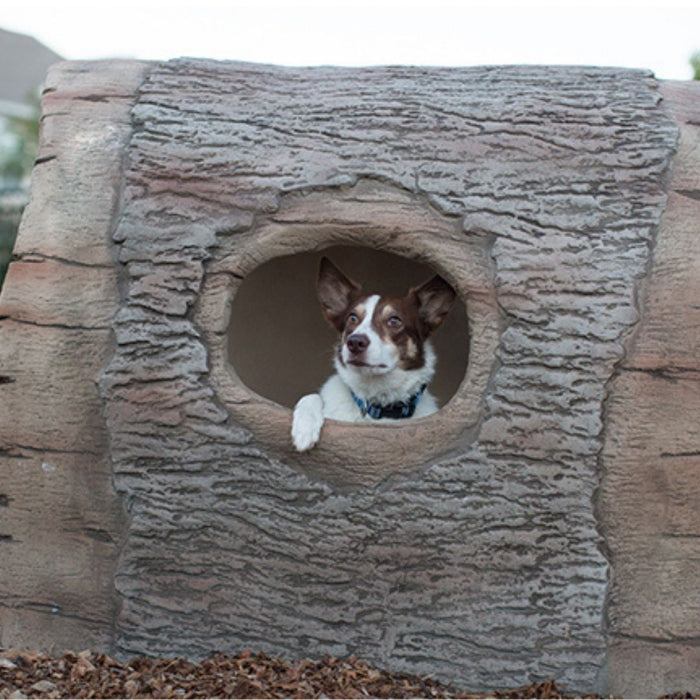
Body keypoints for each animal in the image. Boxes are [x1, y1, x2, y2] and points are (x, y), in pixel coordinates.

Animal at [288, 260, 454, 452]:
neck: (374, 404)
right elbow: (311, 396)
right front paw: (304, 429)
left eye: (394, 321)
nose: (354, 342)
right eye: (352, 318)